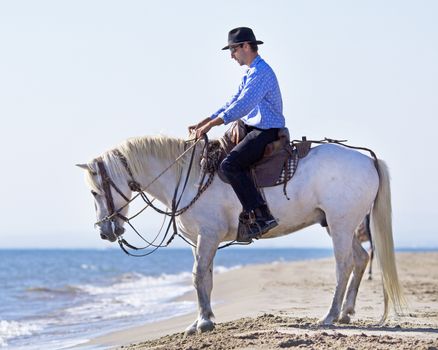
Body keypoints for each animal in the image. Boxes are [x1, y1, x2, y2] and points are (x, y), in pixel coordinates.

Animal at [77, 134, 406, 334]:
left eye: (94, 191)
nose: (105, 231)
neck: (188, 177)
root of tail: (367, 159)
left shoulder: (208, 236)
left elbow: (198, 275)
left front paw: (203, 322)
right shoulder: (200, 241)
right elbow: (206, 278)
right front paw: (202, 320)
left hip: (340, 224)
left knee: (344, 265)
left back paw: (329, 316)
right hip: (342, 226)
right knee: (360, 260)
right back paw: (345, 313)